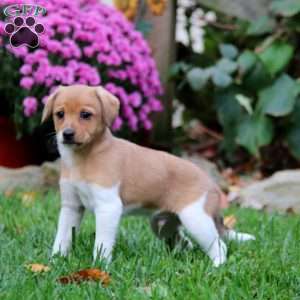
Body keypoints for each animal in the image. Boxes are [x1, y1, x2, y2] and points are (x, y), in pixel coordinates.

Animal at [41, 84, 254, 268]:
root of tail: (214, 185)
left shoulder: (108, 208)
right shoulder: (71, 207)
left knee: (219, 246)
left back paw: (216, 267)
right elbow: (62, 237)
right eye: (60, 114)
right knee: (185, 242)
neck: (83, 158)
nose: (67, 134)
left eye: (85, 115)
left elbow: (102, 243)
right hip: (162, 224)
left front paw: (100, 266)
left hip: (196, 220)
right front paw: (55, 262)